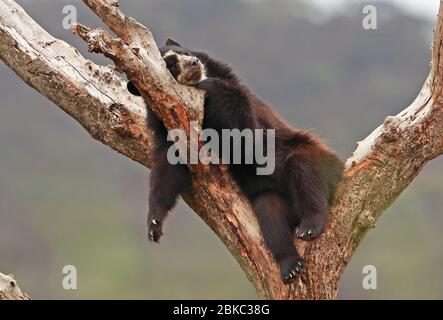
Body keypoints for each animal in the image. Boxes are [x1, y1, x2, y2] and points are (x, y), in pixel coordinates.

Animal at [126, 38, 346, 284]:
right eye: (170, 65)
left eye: (184, 52)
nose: (194, 63)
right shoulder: (170, 126)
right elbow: (168, 168)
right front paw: (154, 224)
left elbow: (246, 135)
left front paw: (209, 84)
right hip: (273, 196)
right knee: (270, 211)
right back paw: (290, 265)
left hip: (317, 156)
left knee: (303, 167)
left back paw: (310, 225)